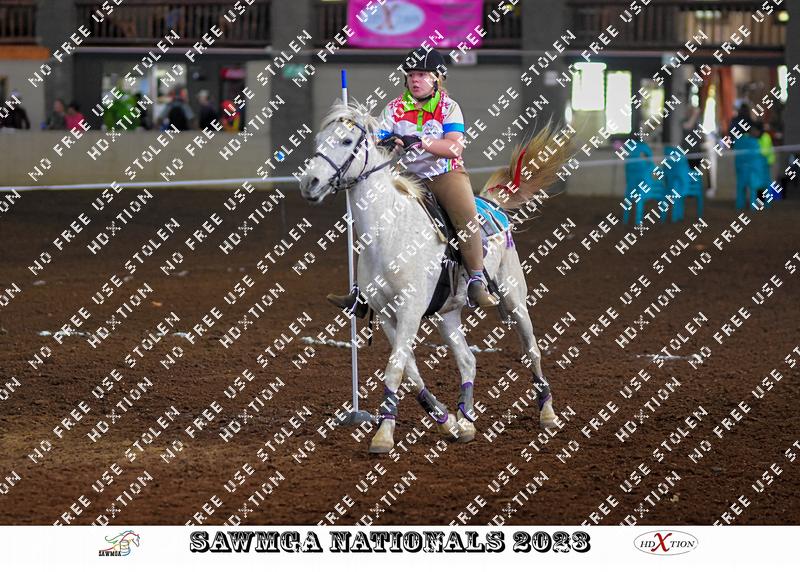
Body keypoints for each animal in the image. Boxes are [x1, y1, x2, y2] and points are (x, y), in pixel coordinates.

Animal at [299, 100, 572, 454]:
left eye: (346, 141)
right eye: (319, 140)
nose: (310, 183)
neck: (390, 231)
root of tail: (492, 203)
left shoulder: (410, 310)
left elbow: (394, 369)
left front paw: (383, 435)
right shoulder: (387, 315)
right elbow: (409, 371)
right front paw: (446, 421)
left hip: (514, 299)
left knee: (532, 350)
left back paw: (548, 414)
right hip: (448, 315)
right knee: (468, 360)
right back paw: (466, 420)